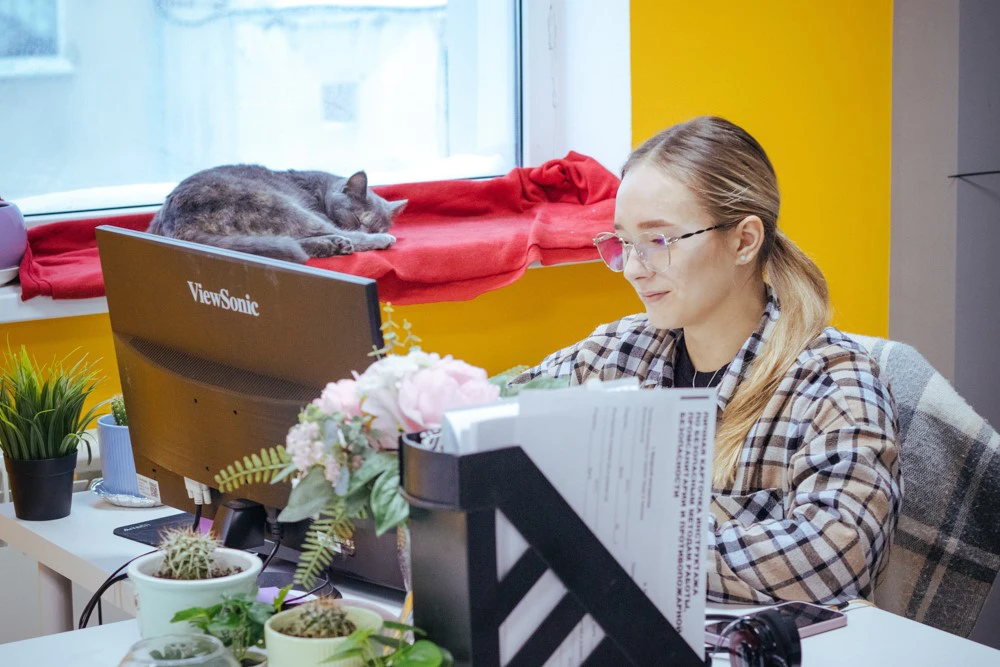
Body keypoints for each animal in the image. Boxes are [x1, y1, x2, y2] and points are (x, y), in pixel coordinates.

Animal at [147, 164, 406, 263]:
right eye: (357, 218)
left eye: (376, 224)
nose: (375, 232)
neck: (319, 190)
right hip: (271, 201)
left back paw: (334, 244)